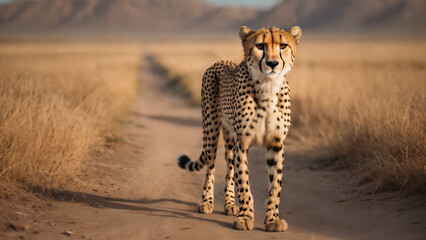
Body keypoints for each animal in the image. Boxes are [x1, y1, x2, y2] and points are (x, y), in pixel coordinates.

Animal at [178, 25, 302, 232]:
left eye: (283, 45)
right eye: (260, 46)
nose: (272, 63)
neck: (268, 86)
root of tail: (219, 61)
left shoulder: (276, 144)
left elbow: (275, 185)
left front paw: (272, 219)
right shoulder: (242, 143)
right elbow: (243, 182)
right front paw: (246, 217)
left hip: (230, 139)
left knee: (229, 168)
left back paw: (229, 204)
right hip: (211, 132)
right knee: (211, 167)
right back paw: (207, 202)